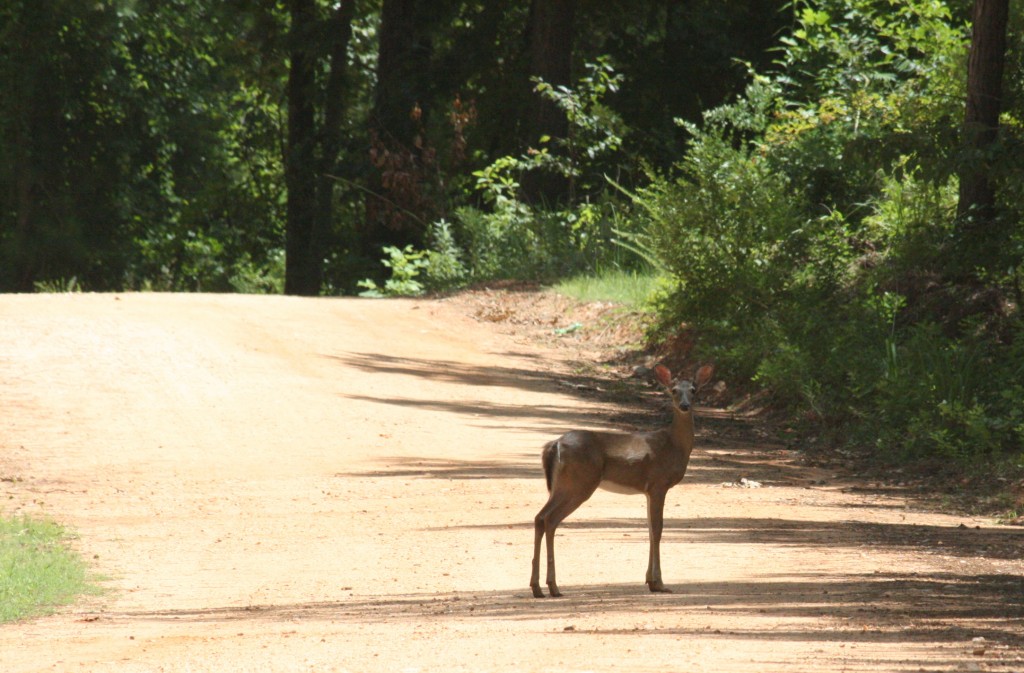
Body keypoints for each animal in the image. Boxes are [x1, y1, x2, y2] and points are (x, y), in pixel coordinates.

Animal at [532, 364, 716, 594]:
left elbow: (649, 528)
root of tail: (555, 444)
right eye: (673, 390)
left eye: (694, 390)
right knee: (550, 519)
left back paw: (537, 587)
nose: (684, 405)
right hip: (579, 482)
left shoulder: (647, 490)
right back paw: (553, 586)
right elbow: (658, 529)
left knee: (540, 517)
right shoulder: (658, 483)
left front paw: (649, 581)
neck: (673, 446)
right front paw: (659, 583)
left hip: (560, 484)